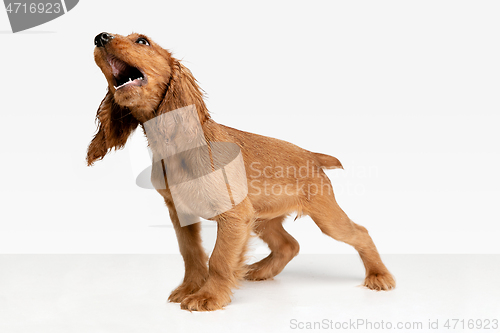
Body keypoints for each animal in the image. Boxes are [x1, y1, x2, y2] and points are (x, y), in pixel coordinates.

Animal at [88, 32, 396, 310]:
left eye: (142, 41)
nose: (100, 37)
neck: (176, 146)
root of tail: (311, 155)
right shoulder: (181, 213)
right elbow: (191, 253)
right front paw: (190, 287)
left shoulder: (235, 215)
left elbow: (219, 259)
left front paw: (208, 296)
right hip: (263, 218)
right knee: (289, 244)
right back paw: (260, 271)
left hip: (326, 216)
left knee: (361, 232)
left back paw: (379, 276)